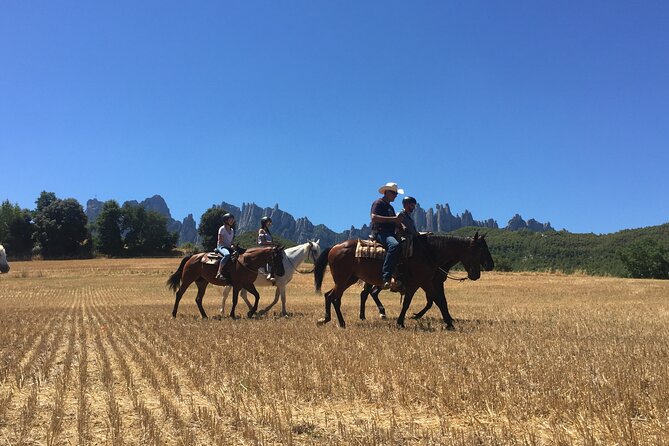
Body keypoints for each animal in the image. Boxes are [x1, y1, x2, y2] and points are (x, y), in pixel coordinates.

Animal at [312, 233, 490, 328]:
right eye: (479, 250)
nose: (477, 274)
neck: (428, 252)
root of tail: (335, 247)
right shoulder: (422, 282)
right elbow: (433, 301)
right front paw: (449, 323)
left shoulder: (422, 283)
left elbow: (433, 301)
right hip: (343, 279)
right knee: (335, 297)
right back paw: (341, 322)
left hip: (349, 279)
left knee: (331, 296)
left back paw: (329, 319)